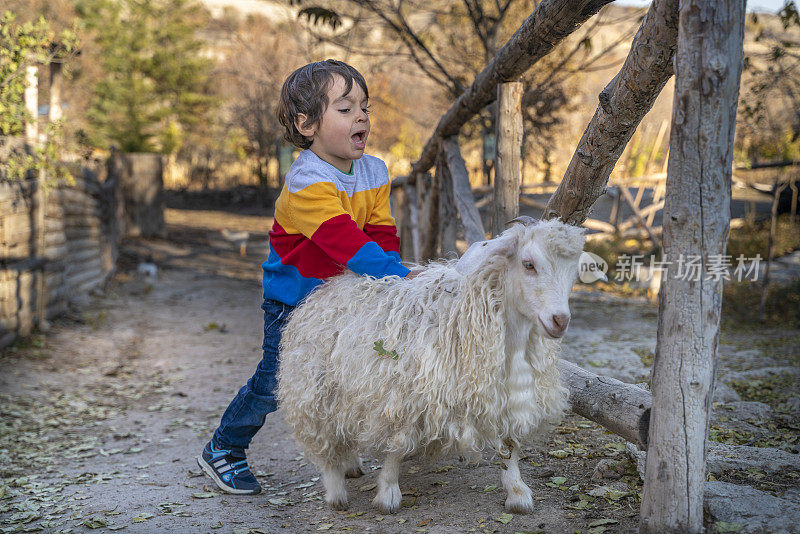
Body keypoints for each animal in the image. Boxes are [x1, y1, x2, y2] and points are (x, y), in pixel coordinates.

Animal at [278, 218, 584, 516]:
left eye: (573, 272)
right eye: (528, 264)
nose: (560, 320)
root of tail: (331, 284)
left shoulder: (506, 394)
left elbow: (509, 444)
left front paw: (517, 492)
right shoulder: (402, 396)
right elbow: (397, 445)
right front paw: (388, 494)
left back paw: (351, 466)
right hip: (318, 388)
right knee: (325, 439)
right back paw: (336, 491)